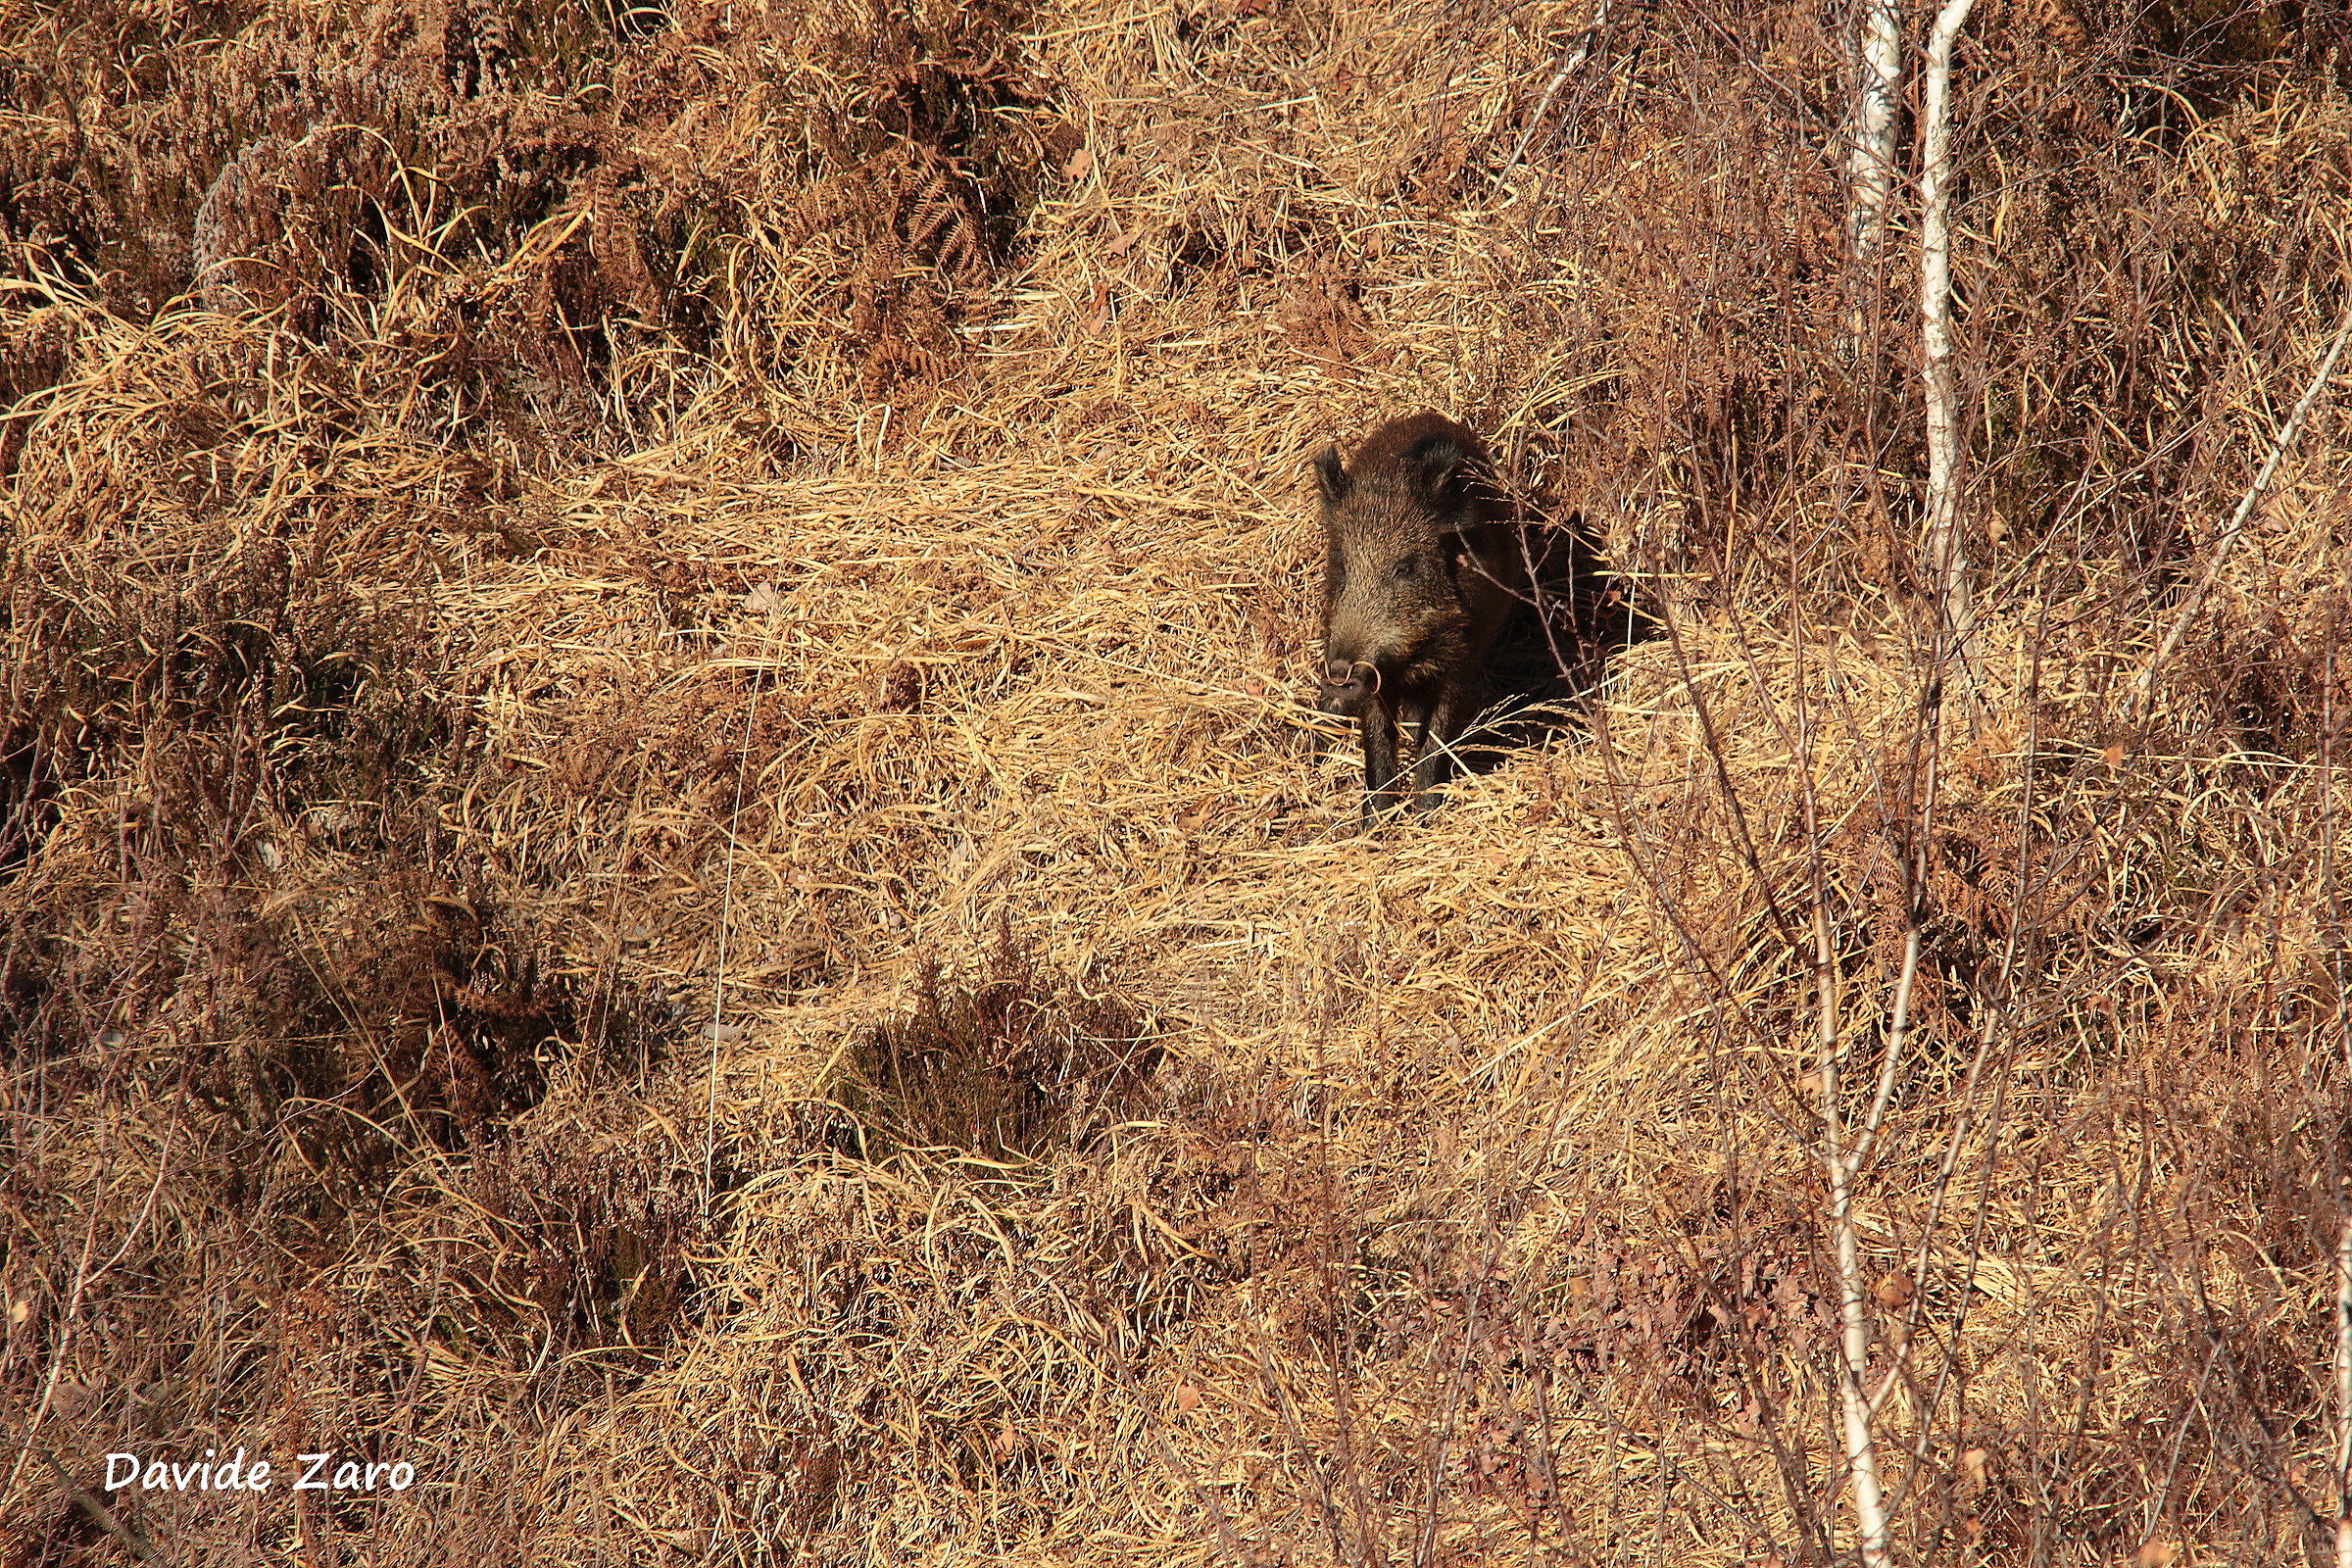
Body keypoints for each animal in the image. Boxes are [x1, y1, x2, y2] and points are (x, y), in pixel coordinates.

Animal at [1313, 412, 1527, 826]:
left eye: (1406, 568)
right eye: (1342, 566)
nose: (1339, 674)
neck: (1409, 659)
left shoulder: (1463, 659)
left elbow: (1438, 737)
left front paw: (1426, 815)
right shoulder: (1374, 682)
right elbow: (1377, 742)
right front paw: (1373, 825)